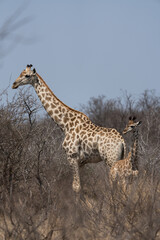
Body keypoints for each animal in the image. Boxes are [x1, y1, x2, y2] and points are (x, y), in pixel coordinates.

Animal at [12, 64, 126, 192]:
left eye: (27, 75)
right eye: (20, 73)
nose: (14, 84)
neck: (65, 125)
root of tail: (122, 141)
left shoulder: (72, 157)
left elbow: (76, 187)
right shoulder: (81, 162)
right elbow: (81, 185)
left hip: (111, 160)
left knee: (115, 183)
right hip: (119, 159)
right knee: (123, 183)